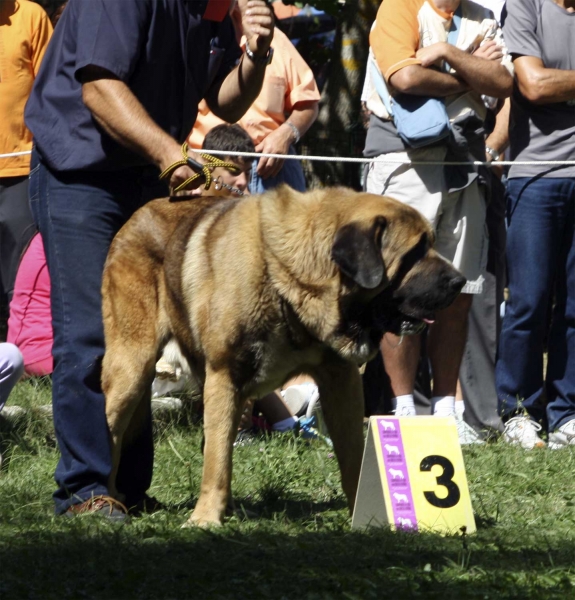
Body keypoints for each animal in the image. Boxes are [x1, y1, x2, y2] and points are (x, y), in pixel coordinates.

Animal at [101, 186, 466, 524]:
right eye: (415, 251)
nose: (460, 281)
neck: (286, 274)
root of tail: (137, 216)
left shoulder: (340, 380)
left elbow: (352, 452)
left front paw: (364, 513)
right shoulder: (224, 375)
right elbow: (216, 457)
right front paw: (205, 518)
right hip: (132, 367)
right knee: (113, 430)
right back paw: (106, 499)